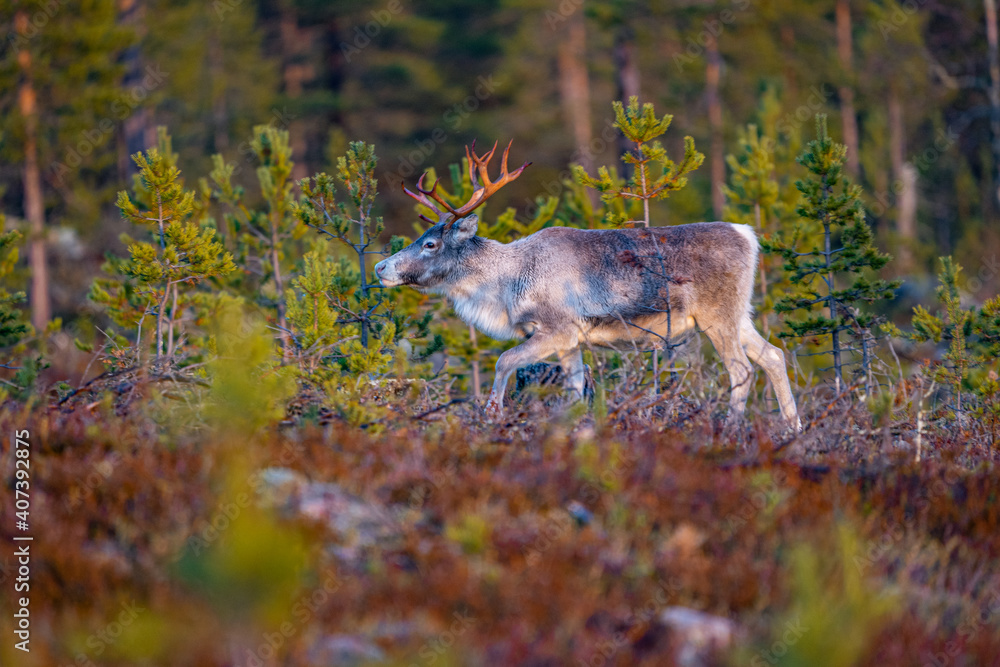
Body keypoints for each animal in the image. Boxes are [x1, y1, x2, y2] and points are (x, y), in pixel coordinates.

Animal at [374, 140, 801, 430]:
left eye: (430, 244)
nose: (380, 267)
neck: (505, 283)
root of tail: (749, 236)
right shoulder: (570, 341)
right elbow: (576, 389)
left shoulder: (556, 329)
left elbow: (503, 361)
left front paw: (492, 416)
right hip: (740, 314)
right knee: (773, 355)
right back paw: (792, 429)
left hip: (717, 316)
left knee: (742, 370)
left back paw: (731, 429)